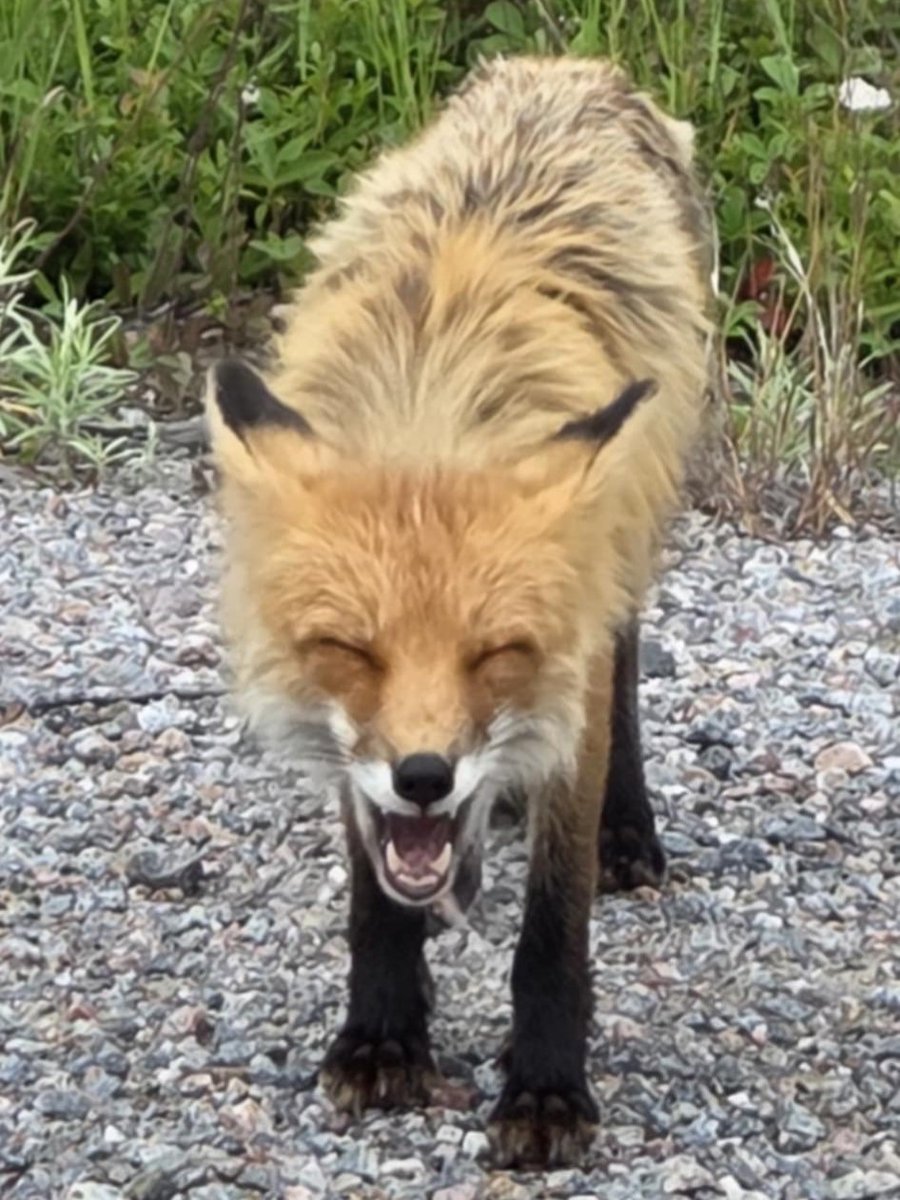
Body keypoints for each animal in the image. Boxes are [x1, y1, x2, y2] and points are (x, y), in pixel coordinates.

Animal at [205, 56, 712, 1168]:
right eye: (350, 649)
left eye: (496, 653)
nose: (427, 775)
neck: (429, 406)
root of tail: (569, 67)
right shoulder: (360, 762)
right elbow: (376, 903)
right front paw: (384, 1037)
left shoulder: (565, 692)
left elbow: (553, 932)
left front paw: (547, 1091)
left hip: (622, 556)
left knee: (624, 665)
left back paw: (625, 830)